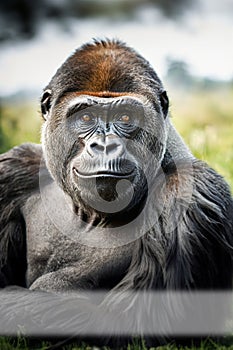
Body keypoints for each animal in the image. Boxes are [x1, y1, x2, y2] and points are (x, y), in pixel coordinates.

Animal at [0, 37, 233, 340]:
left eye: (125, 117)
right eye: (87, 118)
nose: (106, 145)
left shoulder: (188, 193)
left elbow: (128, 321)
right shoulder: (14, 172)